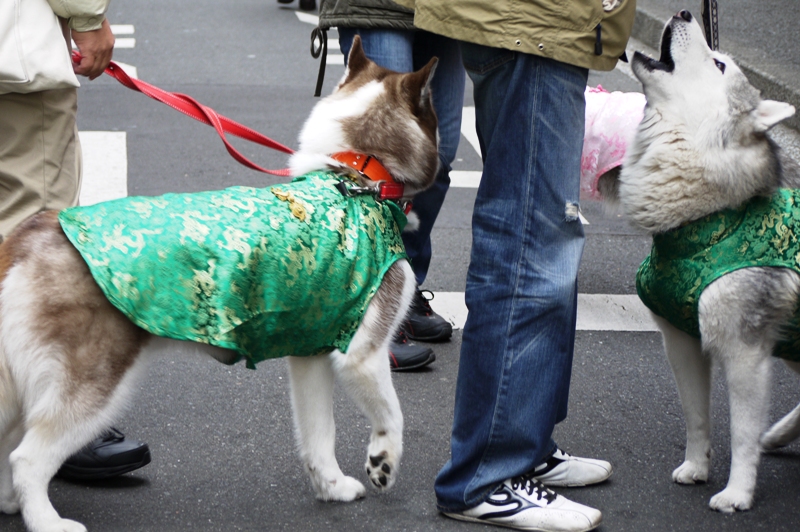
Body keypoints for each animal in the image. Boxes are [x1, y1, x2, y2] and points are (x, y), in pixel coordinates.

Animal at [0, 37, 438, 532]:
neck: (357, 171)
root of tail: (36, 228)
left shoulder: (310, 353)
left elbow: (318, 435)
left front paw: (331, 486)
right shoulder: (363, 355)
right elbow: (392, 415)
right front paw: (383, 461)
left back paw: (11, 502)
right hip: (92, 380)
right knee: (26, 458)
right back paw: (46, 520)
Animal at [620, 11, 800, 512]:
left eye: (720, 65)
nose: (683, 12)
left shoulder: (745, 353)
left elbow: (741, 433)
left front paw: (737, 493)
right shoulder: (680, 340)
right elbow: (696, 416)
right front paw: (697, 467)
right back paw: (779, 436)